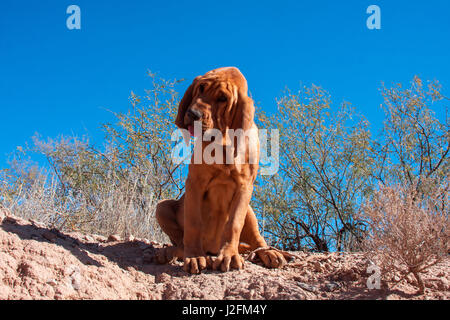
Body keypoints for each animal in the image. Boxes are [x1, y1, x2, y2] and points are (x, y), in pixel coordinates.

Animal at [155, 67, 290, 272]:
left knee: (256, 241)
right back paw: (171, 253)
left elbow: (234, 224)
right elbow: (193, 222)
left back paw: (269, 253)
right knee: (180, 243)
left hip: (250, 210)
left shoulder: (245, 188)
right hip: (161, 207)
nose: (192, 114)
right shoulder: (195, 183)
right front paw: (194, 256)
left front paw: (229, 256)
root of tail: (211, 249)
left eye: (222, 98)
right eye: (201, 88)